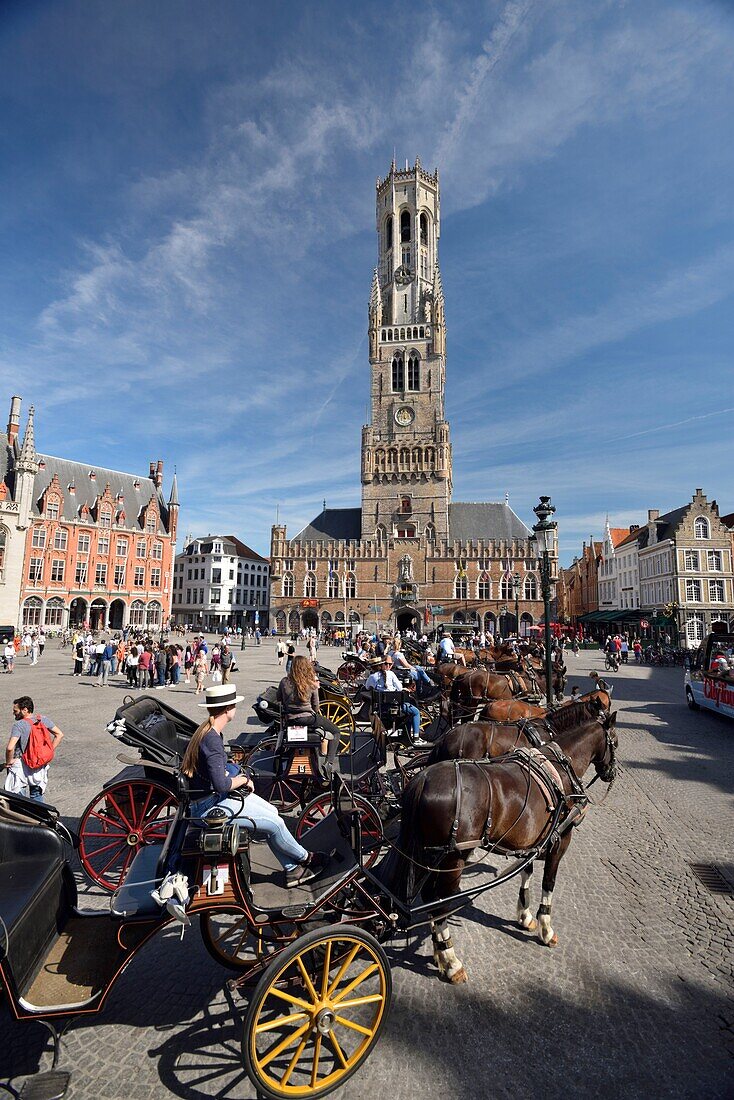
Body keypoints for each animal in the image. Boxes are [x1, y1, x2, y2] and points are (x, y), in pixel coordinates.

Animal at [385, 708, 620, 985]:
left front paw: (525, 916)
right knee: (438, 902)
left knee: (431, 899)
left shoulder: (531, 838)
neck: (561, 766)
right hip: (453, 858)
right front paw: (545, 928)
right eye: (615, 742)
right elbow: (548, 883)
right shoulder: (561, 840)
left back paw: (439, 952)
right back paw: (452, 962)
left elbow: (526, 873)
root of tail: (423, 779)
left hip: (432, 856)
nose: (612, 773)